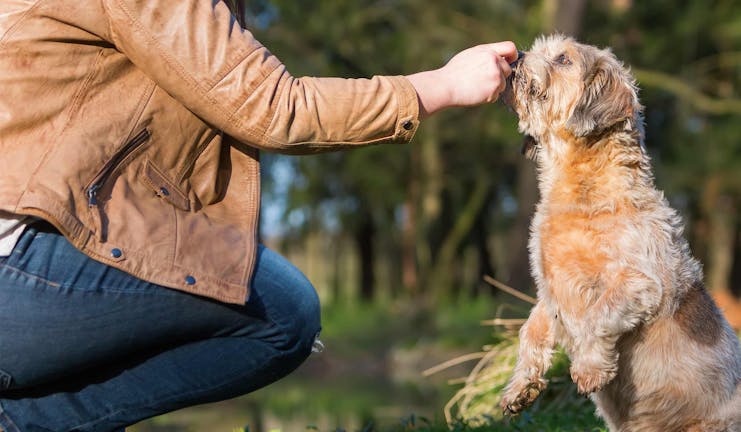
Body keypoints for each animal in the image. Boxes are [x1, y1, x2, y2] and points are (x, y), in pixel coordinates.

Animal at [498, 34, 740, 432]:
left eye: (563, 59)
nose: (515, 58)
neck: (582, 193)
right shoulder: (550, 292)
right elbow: (530, 330)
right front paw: (520, 386)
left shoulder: (639, 284)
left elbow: (597, 317)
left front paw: (589, 369)